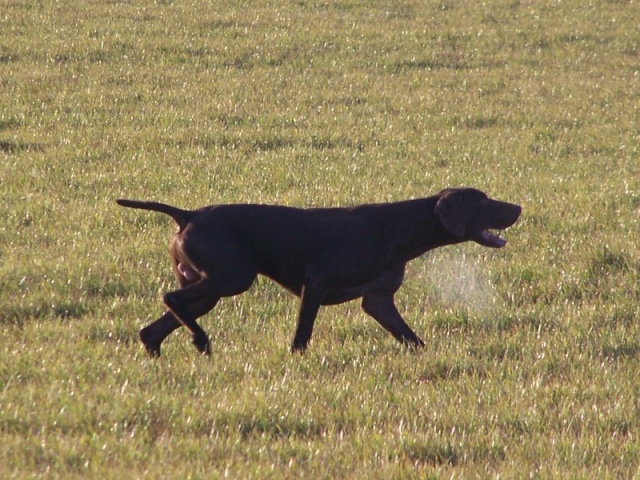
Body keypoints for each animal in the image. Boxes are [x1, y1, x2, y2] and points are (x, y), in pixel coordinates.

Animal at [116, 188, 520, 356]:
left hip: (209, 288)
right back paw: (200, 340)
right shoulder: (316, 284)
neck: (398, 228)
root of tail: (187, 215)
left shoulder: (378, 301)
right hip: (231, 279)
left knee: (154, 327)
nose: (518, 207)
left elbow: (412, 339)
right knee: (169, 297)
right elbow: (302, 336)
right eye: (483, 200)